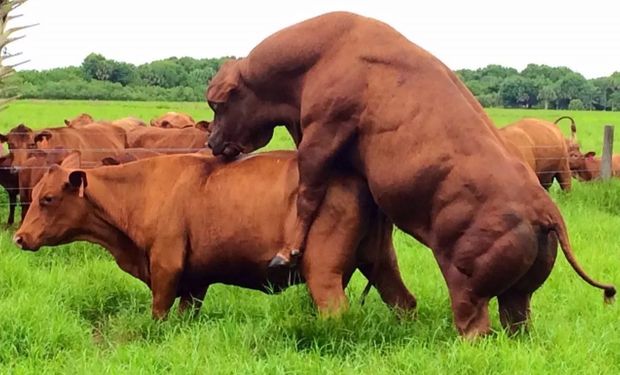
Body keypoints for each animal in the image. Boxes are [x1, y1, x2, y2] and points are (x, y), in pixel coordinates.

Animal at [13, 153, 416, 320]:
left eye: (48, 199)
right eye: (35, 195)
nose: (19, 237)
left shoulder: (166, 268)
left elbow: (158, 314)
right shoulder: (195, 280)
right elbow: (184, 314)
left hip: (323, 272)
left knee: (336, 312)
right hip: (379, 261)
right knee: (404, 302)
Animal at [205, 11, 616, 338]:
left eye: (218, 103)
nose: (211, 141)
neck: (322, 54)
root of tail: (545, 212)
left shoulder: (322, 134)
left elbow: (307, 195)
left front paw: (285, 254)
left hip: (468, 288)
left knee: (476, 329)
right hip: (519, 297)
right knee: (516, 326)